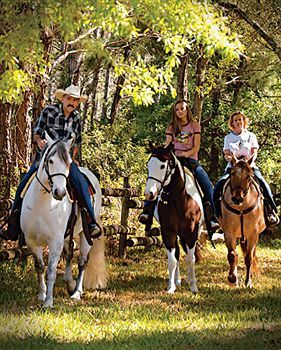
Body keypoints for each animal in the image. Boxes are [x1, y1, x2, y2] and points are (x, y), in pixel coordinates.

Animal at [20, 133, 106, 308]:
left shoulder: (55, 241)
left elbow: (51, 270)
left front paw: (48, 302)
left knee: (82, 262)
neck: (42, 203)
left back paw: (77, 292)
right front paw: (42, 295)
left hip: (85, 235)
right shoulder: (31, 240)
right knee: (69, 253)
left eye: (68, 163)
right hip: (67, 236)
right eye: (51, 161)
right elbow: (40, 267)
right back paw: (69, 283)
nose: (60, 192)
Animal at [143, 142, 202, 292]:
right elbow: (172, 260)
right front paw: (171, 287)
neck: (180, 200)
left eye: (162, 166)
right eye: (148, 165)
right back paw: (178, 280)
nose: (149, 193)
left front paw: (193, 286)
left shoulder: (192, 233)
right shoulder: (168, 231)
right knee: (177, 253)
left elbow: (190, 259)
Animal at [219, 154, 264, 288]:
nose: (237, 198)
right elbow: (232, 255)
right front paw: (233, 278)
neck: (241, 208)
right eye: (232, 173)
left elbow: (249, 258)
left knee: (251, 255)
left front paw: (248, 282)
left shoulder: (253, 234)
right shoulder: (229, 233)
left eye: (249, 176)